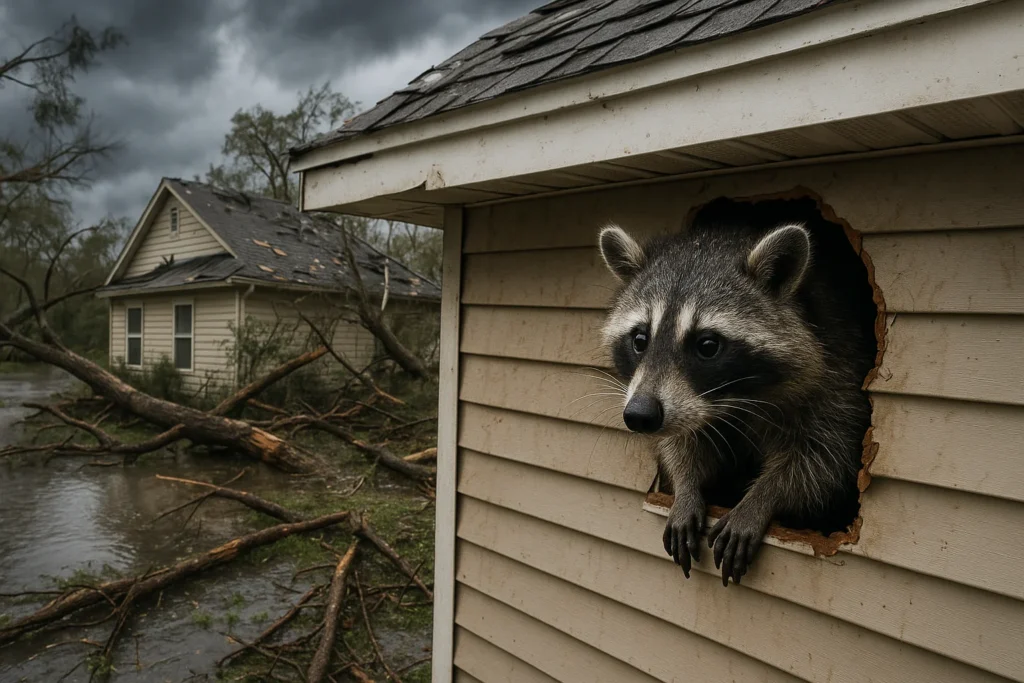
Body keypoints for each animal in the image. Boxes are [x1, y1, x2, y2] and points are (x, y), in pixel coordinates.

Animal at [597, 198, 877, 586]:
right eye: (639, 340)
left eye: (707, 345)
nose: (640, 415)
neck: (733, 400)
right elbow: (683, 440)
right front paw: (686, 487)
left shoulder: (838, 369)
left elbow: (823, 459)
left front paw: (762, 498)